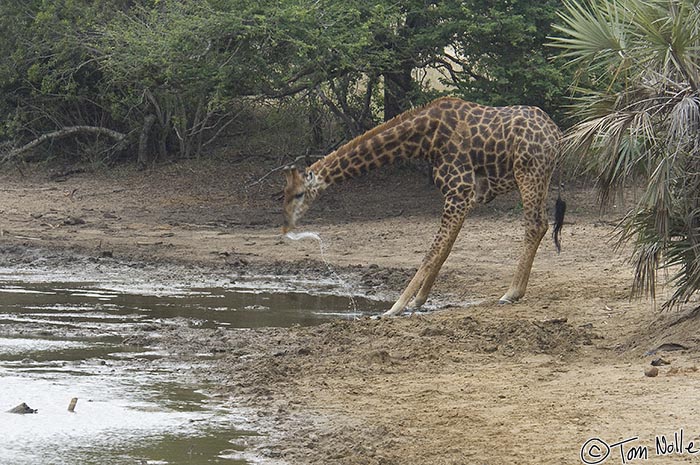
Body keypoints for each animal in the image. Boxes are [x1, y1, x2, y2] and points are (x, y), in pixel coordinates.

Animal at [282, 97, 568, 316]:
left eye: (299, 194)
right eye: (283, 194)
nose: (286, 226)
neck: (424, 140)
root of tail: (556, 135)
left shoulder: (459, 192)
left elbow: (432, 251)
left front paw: (395, 307)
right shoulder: (467, 198)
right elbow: (445, 248)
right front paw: (419, 300)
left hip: (528, 173)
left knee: (535, 225)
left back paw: (511, 293)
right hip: (538, 177)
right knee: (541, 225)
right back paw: (516, 291)